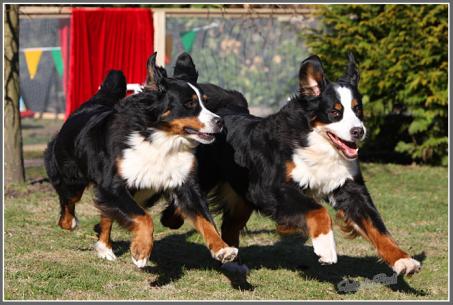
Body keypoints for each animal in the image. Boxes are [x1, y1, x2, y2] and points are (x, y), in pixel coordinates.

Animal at [44, 53, 238, 268]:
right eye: (189, 103)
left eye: (206, 102)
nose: (220, 121)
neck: (162, 140)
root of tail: (89, 106)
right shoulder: (113, 185)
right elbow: (144, 218)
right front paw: (141, 251)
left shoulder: (185, 183)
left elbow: (206, 219)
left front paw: (222, 248)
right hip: (72, 180)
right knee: (69, 204)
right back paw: (72, 224)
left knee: (106, 214)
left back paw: (104, 247)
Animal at [162, 54, 420, 276]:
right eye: (335, 112)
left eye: (358, 109)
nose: (358, 131)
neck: (316, 141)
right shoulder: (272, 187)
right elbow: (318, 210)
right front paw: (325, 247)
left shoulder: (348, 186)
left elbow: (377, 226)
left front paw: (402, 259)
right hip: (211, 179)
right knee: (181, 205)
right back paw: (174, 222)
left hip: (243, 196)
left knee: (229, 226)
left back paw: (232, 263)